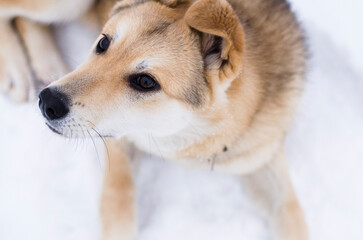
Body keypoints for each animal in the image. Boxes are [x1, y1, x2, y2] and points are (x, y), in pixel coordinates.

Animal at [0, 0, 310, 238]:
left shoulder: (261, 153)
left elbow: (293, 213)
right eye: (103, 43)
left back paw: (46, 64)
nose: (48, 103)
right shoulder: (119, 140)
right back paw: (15, 71)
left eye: (146, 82)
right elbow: (120, 199)